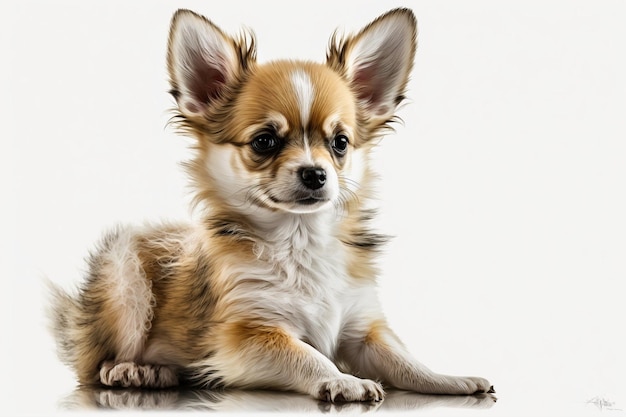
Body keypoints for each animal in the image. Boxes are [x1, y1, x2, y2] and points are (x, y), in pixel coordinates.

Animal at [47, 8, 492, 402]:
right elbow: (307, 356)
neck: (301, 237)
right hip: (124, 279)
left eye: (340, 143)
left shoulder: (362, 328)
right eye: (265, 141)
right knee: (95, 363)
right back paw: (135, 369)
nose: (315, 173)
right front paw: (343, 380)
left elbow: (404, 359)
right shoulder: (250, 335)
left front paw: (447, 378)